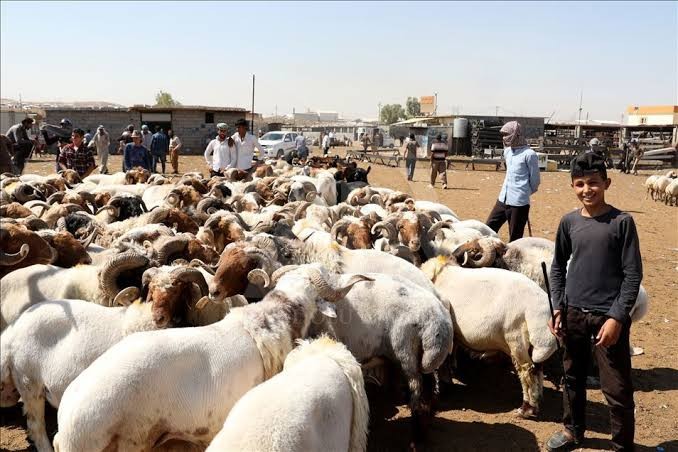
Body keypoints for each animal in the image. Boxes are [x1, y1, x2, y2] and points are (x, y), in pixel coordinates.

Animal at [422, 256, 560, 418]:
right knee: (537, 369)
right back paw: (537, 402)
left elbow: (443, 363)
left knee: (527, 371)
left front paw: (443, 388)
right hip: (531, 345)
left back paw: (526, 409)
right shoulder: (453, 337)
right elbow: (448, 360)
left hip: (517, 340)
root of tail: (544, 310)